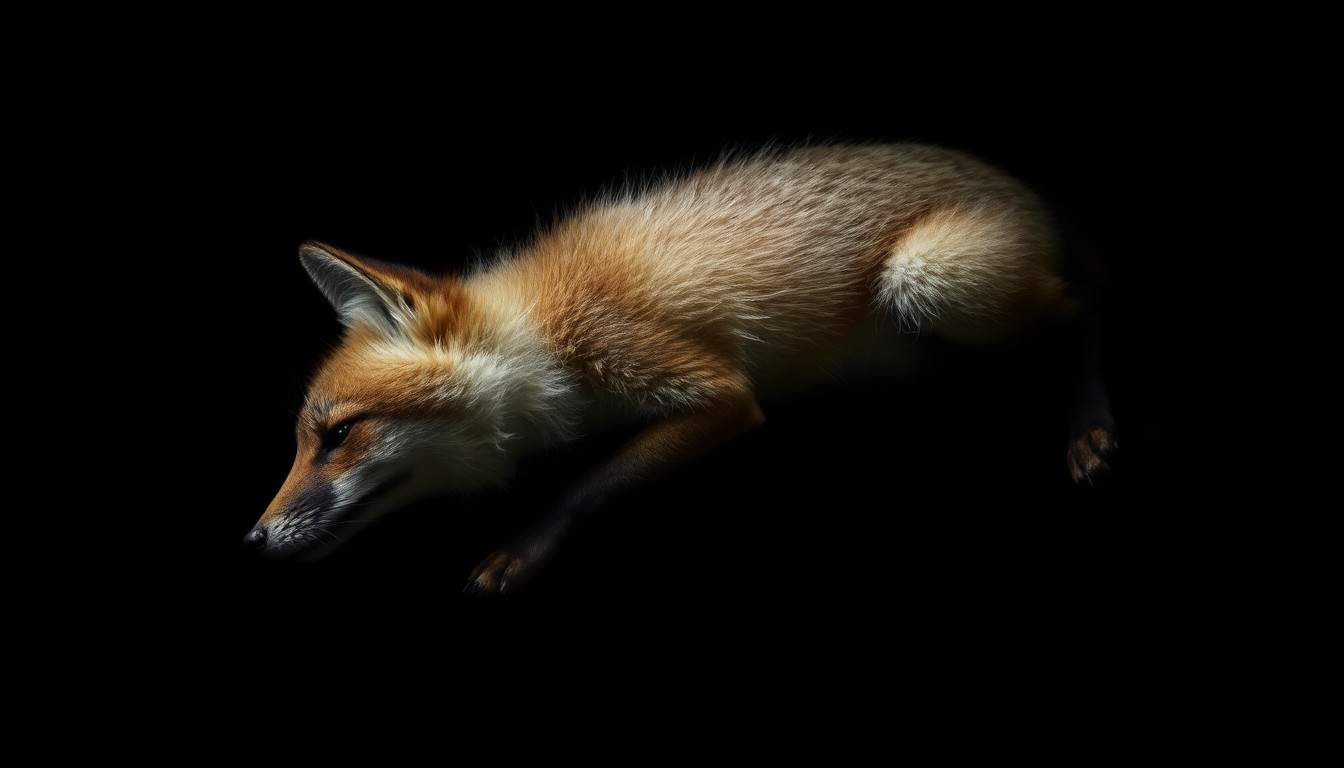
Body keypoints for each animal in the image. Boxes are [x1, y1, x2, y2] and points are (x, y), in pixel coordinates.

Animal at [244, 142, 1117, 595]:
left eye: (338, 435)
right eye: (304, 439)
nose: (251, 540)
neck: (550, 328)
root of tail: (1014, 183)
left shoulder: (714, 391)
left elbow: (588, 485)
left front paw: (523, 548)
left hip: (928, 276)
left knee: (1086, 304)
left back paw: (1090, 428)